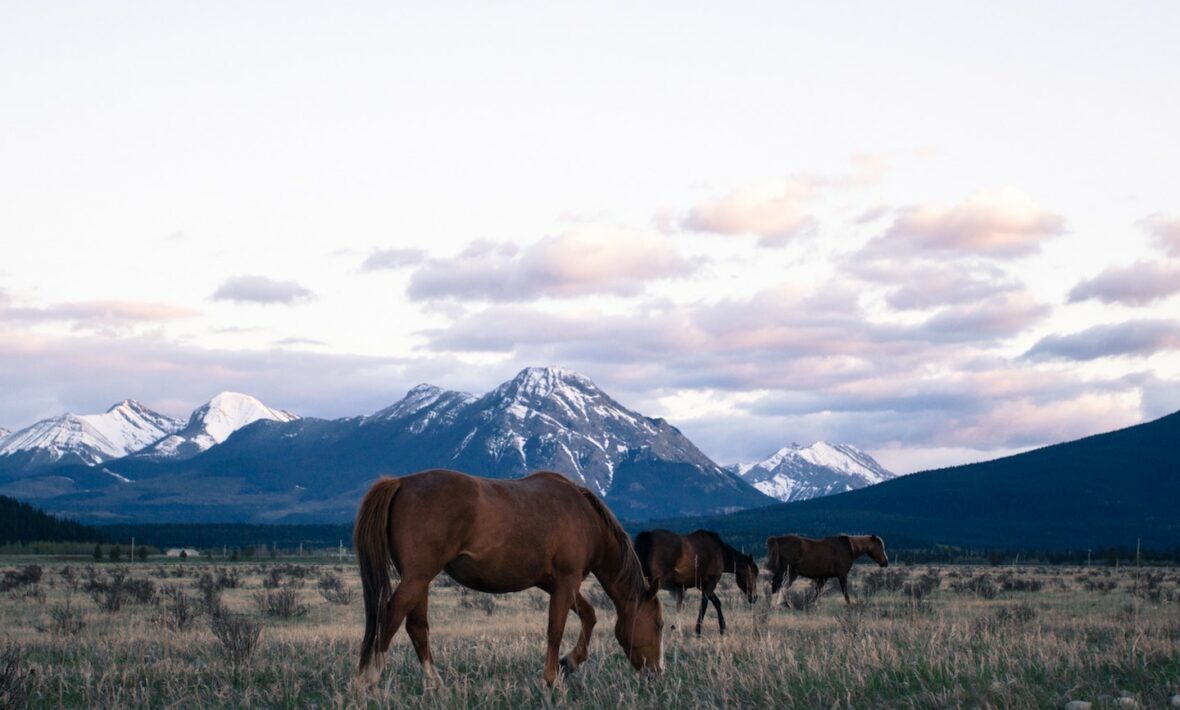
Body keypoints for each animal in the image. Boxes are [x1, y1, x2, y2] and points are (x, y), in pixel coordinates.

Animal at [351, 467, 665, 688]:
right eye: (659, 625)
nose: (657, 672)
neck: (587, 520)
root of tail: (400, 482)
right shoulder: (567, 580)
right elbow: (556, 629)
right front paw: (551, 679)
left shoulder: (555, 584)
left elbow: (589, 616)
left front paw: (570, 662)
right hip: (417, 577)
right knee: (392, 616)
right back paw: (368, 680)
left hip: (420, 580)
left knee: (416, 627)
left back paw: (436, 684)